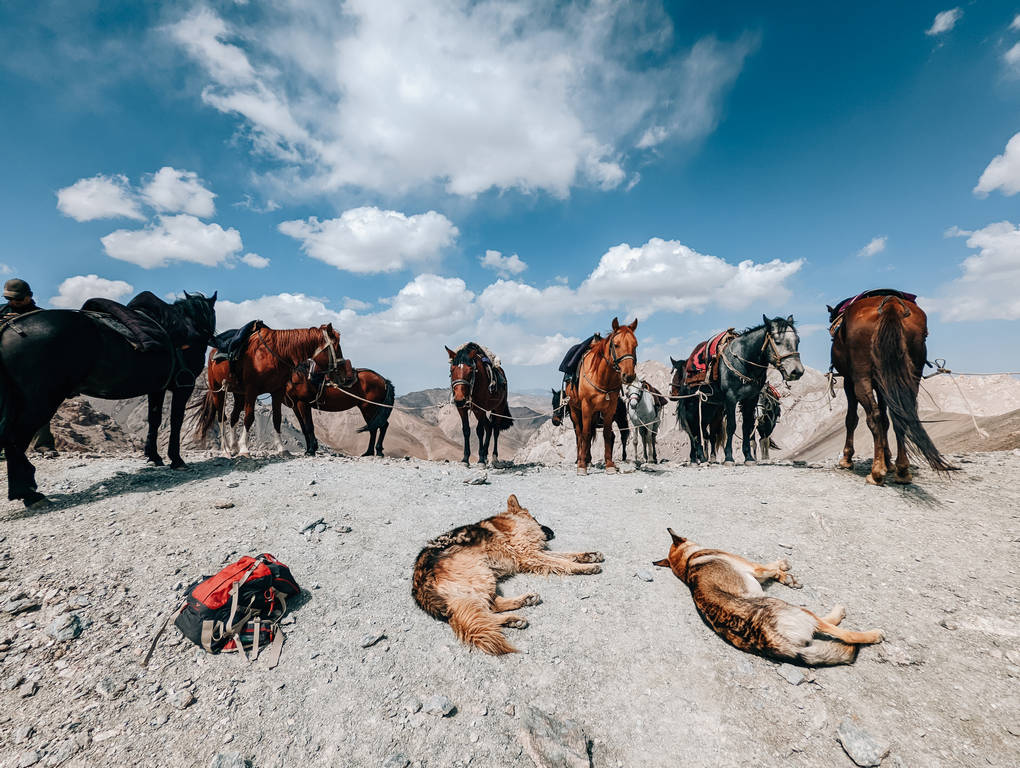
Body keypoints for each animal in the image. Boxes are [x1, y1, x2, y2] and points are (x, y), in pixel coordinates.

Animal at [0, 291, 217, 506]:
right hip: (40, 402)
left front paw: (154, 456)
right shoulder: (184, 386)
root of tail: (9, 327)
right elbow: (176, 421)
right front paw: (176, 460)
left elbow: (154, 420)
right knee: (15, 438)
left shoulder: (157, 389)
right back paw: (29, 494)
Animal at [197, 324, 344, 457]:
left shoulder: (277, 392)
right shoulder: (252, 390)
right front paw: (244, 449)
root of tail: (213, 353)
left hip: (238, 393)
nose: (342, 372)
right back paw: (226, 449)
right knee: (222, 417)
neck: (274, 354)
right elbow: (249, 418)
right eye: (337, 347)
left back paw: (234, 447)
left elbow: (277, 418)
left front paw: (282, 449)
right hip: (218, 390)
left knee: (233, 417)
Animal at [566, 317, 638, 475]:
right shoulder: (586, 407)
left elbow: (607, 434)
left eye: (635, 345)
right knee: (579, 434)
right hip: (575, 410)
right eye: (616, 345)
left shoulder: (609, 409)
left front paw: (609, 464)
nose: (629, 376)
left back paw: (588, 459)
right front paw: (582, 466)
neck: (601, 377)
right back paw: (581, 459)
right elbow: (585, 434)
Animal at [676, 316, 804, 466]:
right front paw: (729, 458)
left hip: (708, 407)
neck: (744, 362)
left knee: (701, 428)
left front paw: (748, 457)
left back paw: (701, 457)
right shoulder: (731, 398)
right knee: (693, 428)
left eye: (797, 340)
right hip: (692, 404)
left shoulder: (750, 399)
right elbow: (731, 426)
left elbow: (746, 427)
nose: (797, 371)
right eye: (777, 341)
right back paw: (694, 459)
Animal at [828, 294, 953, 485]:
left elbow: (852, 419)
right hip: (908, 378)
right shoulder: (883, 386)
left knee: (874, 416)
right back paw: (902, 471)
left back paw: (876, 472)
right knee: (902, 415)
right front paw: (888, 462)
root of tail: (891, 304)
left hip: (861, 379)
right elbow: (886, 421)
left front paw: (847, 459)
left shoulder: (848, 382)